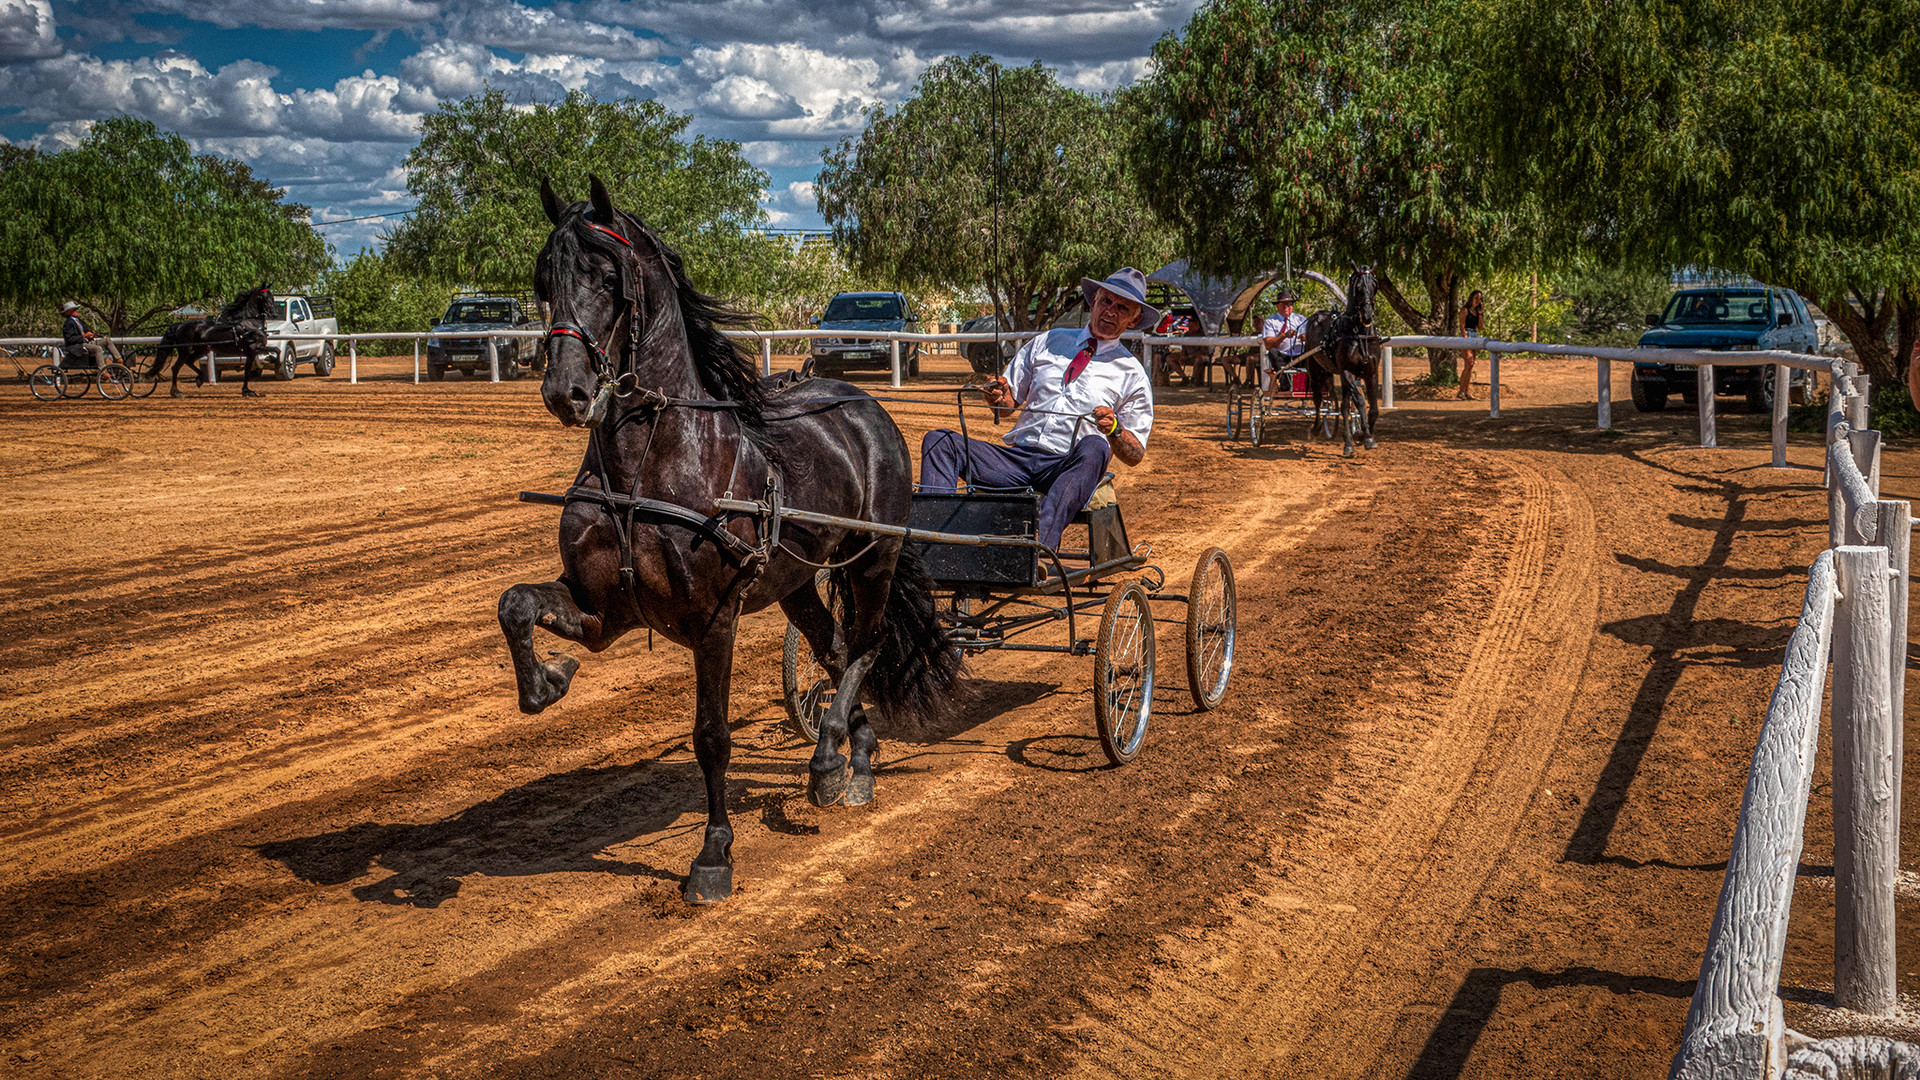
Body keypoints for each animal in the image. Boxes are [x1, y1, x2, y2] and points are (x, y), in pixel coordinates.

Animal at [150, 284, 278, 397]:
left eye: (272, 297)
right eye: (264, 297)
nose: (275, 314)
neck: (249, 324)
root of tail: (179, 325)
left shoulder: (250, 352)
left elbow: (249, 369)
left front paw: (247, 391)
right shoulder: (254, 349)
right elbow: (274, 351)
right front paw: (248, 391)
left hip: (201, 350)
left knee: (189, 362)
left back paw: (200, 379)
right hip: (185, 351)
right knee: (175, 368)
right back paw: (176, 392)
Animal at [495, 176, 960, 899]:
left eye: (607, 276)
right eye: (545, 279)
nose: (565, 391)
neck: (650, 464)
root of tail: (863, 404)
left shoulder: (714, 617)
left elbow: (711, 735)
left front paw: (713, 855)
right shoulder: (602, 609)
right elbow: (516, 603)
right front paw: (548, 678)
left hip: (871, 559)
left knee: (867, 645)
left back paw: (830, 760)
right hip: (797, 579)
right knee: (831, 649)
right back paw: (851, 757)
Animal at [1305, 269, 1382, 457]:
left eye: (1374, 286)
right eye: (1358, 288)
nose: (1367, 315)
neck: (1359, 334)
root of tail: (1316, 316)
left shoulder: (1371, 371)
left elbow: (1373, 408)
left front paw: (1362, 435)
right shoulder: (1347, 371)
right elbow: (1359, 401)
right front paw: (1366, 437)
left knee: (1345, 405)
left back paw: (1348, 441)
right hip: (1314, 368)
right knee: (1319, 399)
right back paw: (1318, 428)